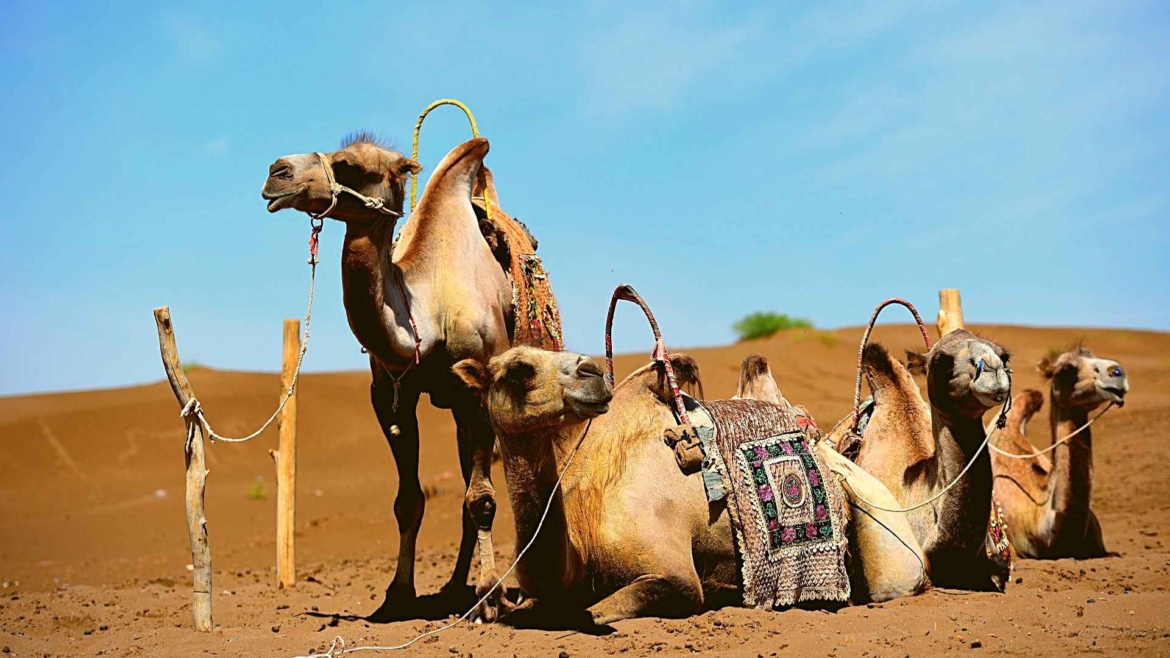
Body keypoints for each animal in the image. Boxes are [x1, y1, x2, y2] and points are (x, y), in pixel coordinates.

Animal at [261, 133, 546, 621]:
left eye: (350, 165)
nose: (276, 172)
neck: (427, 311)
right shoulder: (391, 395)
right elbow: (408, 500)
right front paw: (396, 595)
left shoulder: (479, 392)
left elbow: (483, 499)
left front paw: (491, 596)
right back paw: (452, 588)